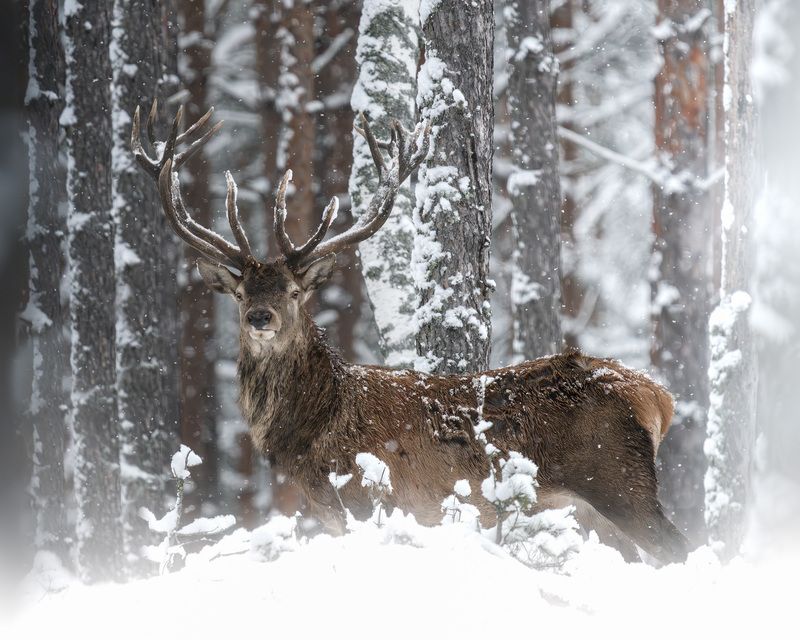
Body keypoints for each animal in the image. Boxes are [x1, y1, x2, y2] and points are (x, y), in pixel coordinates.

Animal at [131, 101, 689, 564]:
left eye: (292, 291)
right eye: (242, 293)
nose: (260, 317)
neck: (311, 430)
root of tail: (658, 396)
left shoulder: (364, 495)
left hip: (618, 480)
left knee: (679, 547)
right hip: (595, 504)